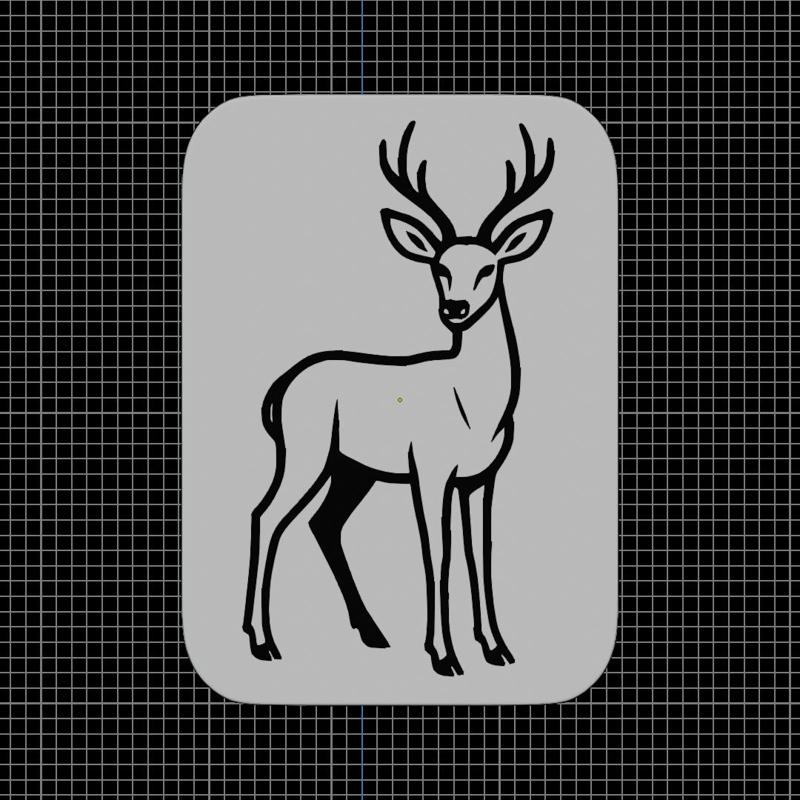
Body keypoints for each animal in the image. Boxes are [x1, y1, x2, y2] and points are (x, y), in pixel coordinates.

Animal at [243, 121, 555, 676]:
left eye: (489, 268)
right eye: (439, 267)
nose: (455, 308)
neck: (476, 407)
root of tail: (281, 388)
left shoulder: (482, 478)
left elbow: (480, 554)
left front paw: (497, 649)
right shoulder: (429, 471)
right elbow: (439, 553)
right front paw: (444, 655)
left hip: (352, 469)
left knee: (324, 523)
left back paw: (372, 633)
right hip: (305, 454)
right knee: (266, 516)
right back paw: (264, 642)